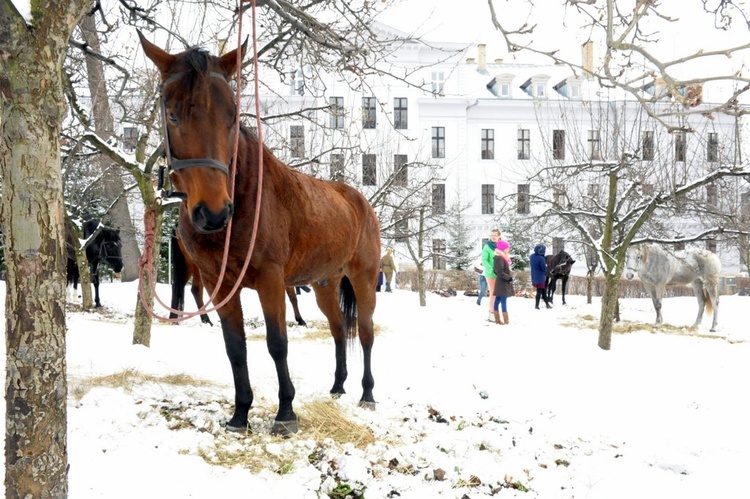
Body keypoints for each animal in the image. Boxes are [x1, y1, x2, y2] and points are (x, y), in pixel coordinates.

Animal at [140, 33, 382, 436]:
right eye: (172, 114)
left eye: (232, 114)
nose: (213, 212)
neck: (244, 197)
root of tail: (359, 199)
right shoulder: (219, 284)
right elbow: (235, 347)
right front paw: (240, 414)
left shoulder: (271, 280)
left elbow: (277, 343)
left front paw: (286, 412)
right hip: (325, 283)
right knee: (337, 330)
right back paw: (337, 386)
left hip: (363, 279)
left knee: (364, 333)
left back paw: (367, 393)